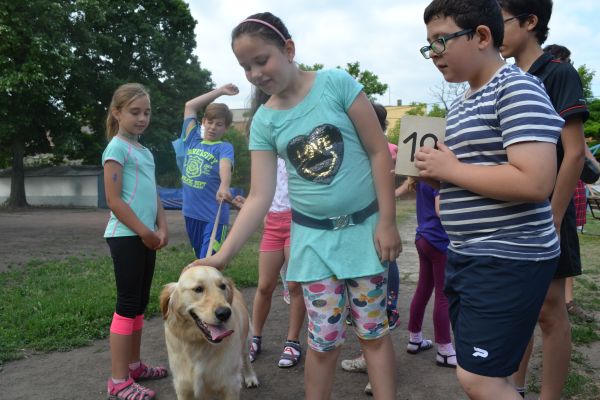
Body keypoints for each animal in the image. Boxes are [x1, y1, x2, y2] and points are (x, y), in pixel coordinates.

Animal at [160, 265, 258, 399]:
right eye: (198, 289)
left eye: (222, 286)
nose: (225, 313)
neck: (197, 343)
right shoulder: (182, 387)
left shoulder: (230, 384)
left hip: (246, 339)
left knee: (246, 358)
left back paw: (250, 377)